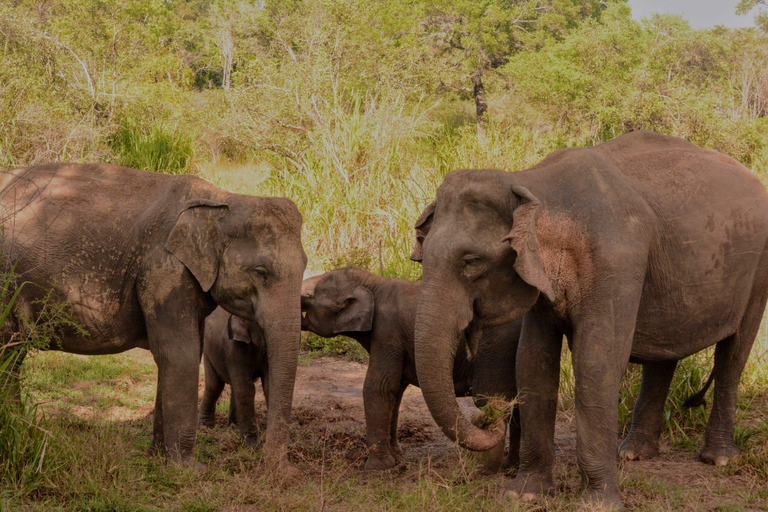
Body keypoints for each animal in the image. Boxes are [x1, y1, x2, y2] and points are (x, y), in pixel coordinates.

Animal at [198, 307, 269, 446]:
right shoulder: (234, 349)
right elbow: (245, 388)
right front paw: (252, 446)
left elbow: (269, 384)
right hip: (208, 352)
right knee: (214, 386)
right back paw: (205, 427)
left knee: (232, 388)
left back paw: (233, 428)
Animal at [300, 267, 521, 472]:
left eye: (310, 296)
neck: (372, 283)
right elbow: (395, 390)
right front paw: (397, 455)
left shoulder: (386, 332)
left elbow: (378, 387)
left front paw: (378, 468)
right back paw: (510, 468)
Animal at [410, 131, 768, 509]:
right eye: (422, 257)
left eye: (471, 262)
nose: (487, 415)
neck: (532, 181)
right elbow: (533, 362)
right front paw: (524, 494)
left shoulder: (615, 260)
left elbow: (596, 362)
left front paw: (597, 503)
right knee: (663, 351)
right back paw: (634, 454)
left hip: (758, 269)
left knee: (734, 354)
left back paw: (719, 458)